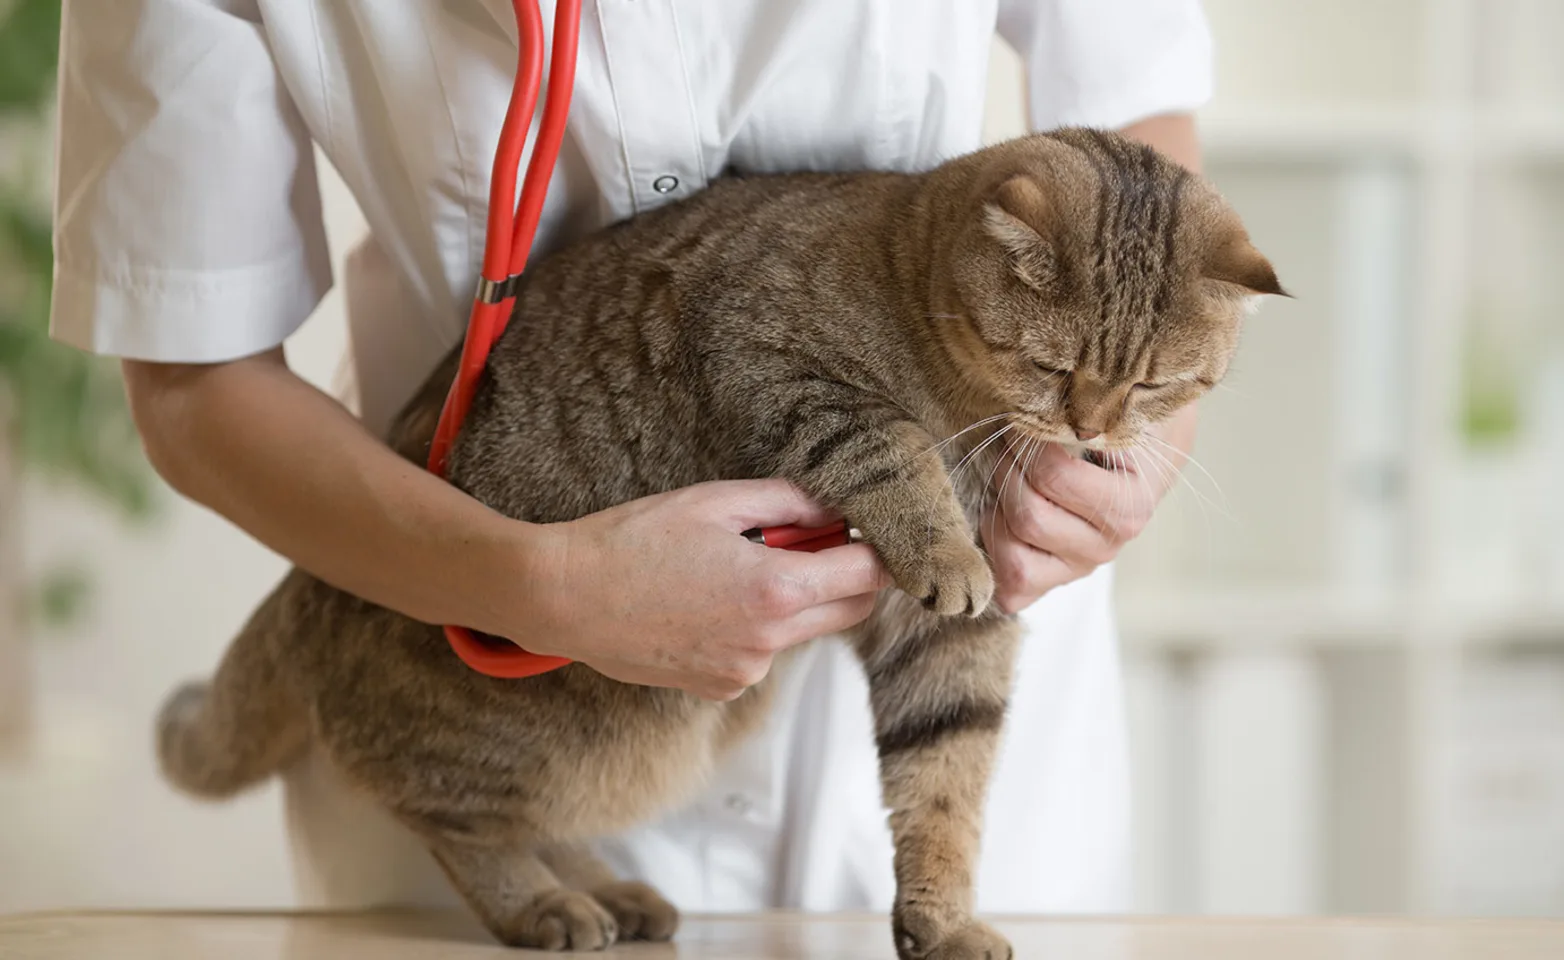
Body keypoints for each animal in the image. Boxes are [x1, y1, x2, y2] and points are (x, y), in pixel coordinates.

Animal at [155, 129, 1282, 960]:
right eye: (1053, 366)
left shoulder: (948, 647)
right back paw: (544, 905)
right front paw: (943, 543)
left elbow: (946, 776)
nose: (1093, 428)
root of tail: (302, 586)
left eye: (1154, 383)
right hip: (528, 729)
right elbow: (891, 450)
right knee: (449, 819)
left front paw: (943, 916)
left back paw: (609, 890)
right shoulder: (776, 370)